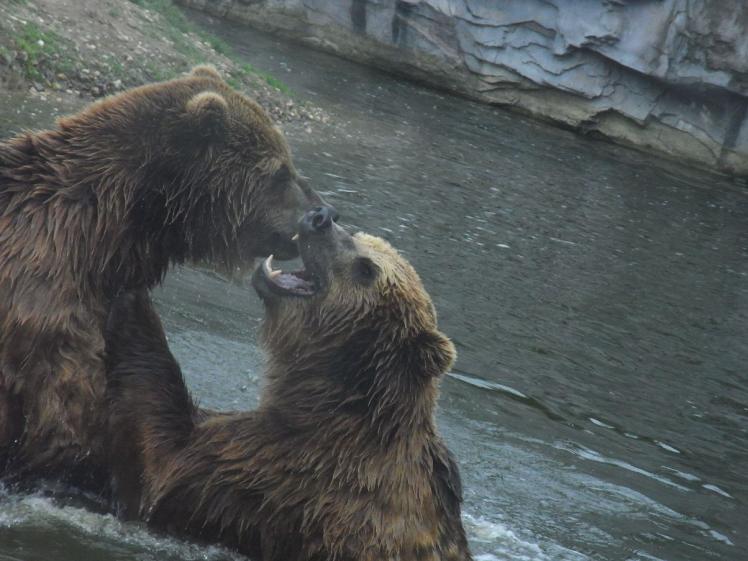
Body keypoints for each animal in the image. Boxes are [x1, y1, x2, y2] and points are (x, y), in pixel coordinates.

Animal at [105, 209, 474, 560]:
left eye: (367, 268)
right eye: (359, 236)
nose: (321, 217)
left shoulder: (287, 474)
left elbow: (166, 454)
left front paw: (131, 289)